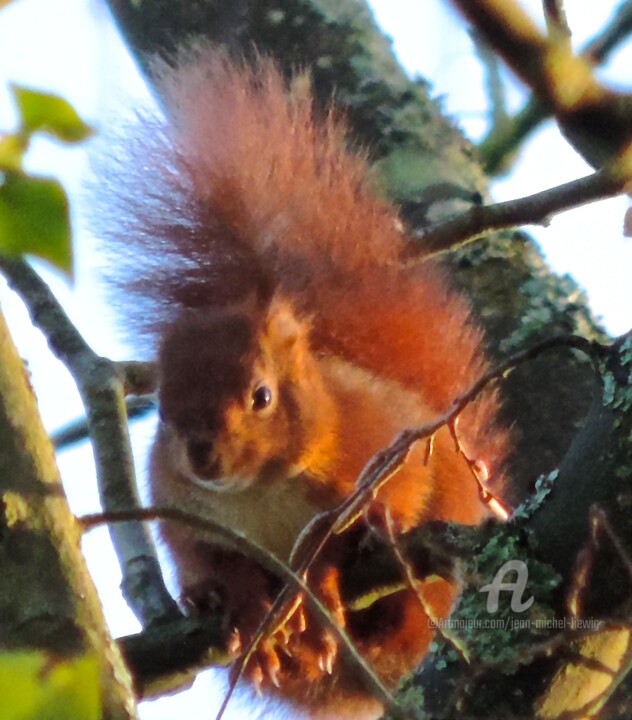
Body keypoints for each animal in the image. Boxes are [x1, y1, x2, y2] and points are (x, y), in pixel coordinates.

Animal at [102, 49, 508, 720]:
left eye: (261, 396)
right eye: (161, 410)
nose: (204, 456)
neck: (258, 493)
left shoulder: (375, 442)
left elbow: (368, 514)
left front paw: (318, 579)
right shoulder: (182, 509)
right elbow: (211, 558)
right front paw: (239, 604)